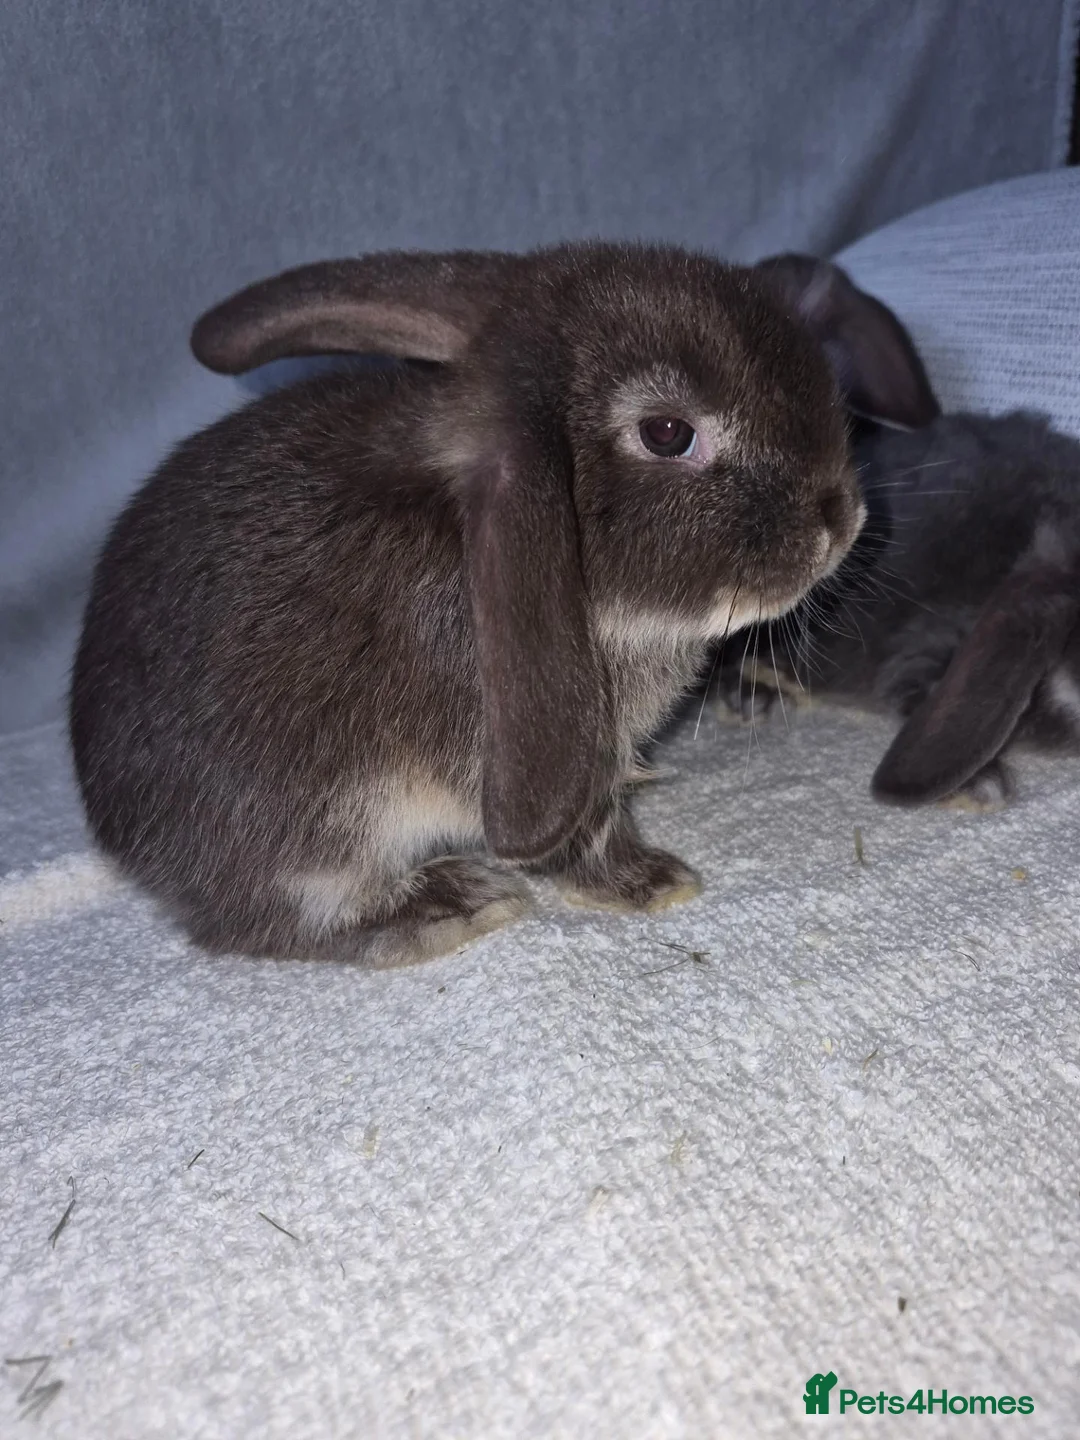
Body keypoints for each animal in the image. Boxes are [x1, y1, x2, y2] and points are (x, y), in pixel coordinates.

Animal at [70, 241, 863, 966]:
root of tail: (124, 838)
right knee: (274, 918)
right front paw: (653, 882)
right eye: (667, 433)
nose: (841, 519)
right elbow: (585, 828)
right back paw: (451, 905)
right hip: (319, 822)